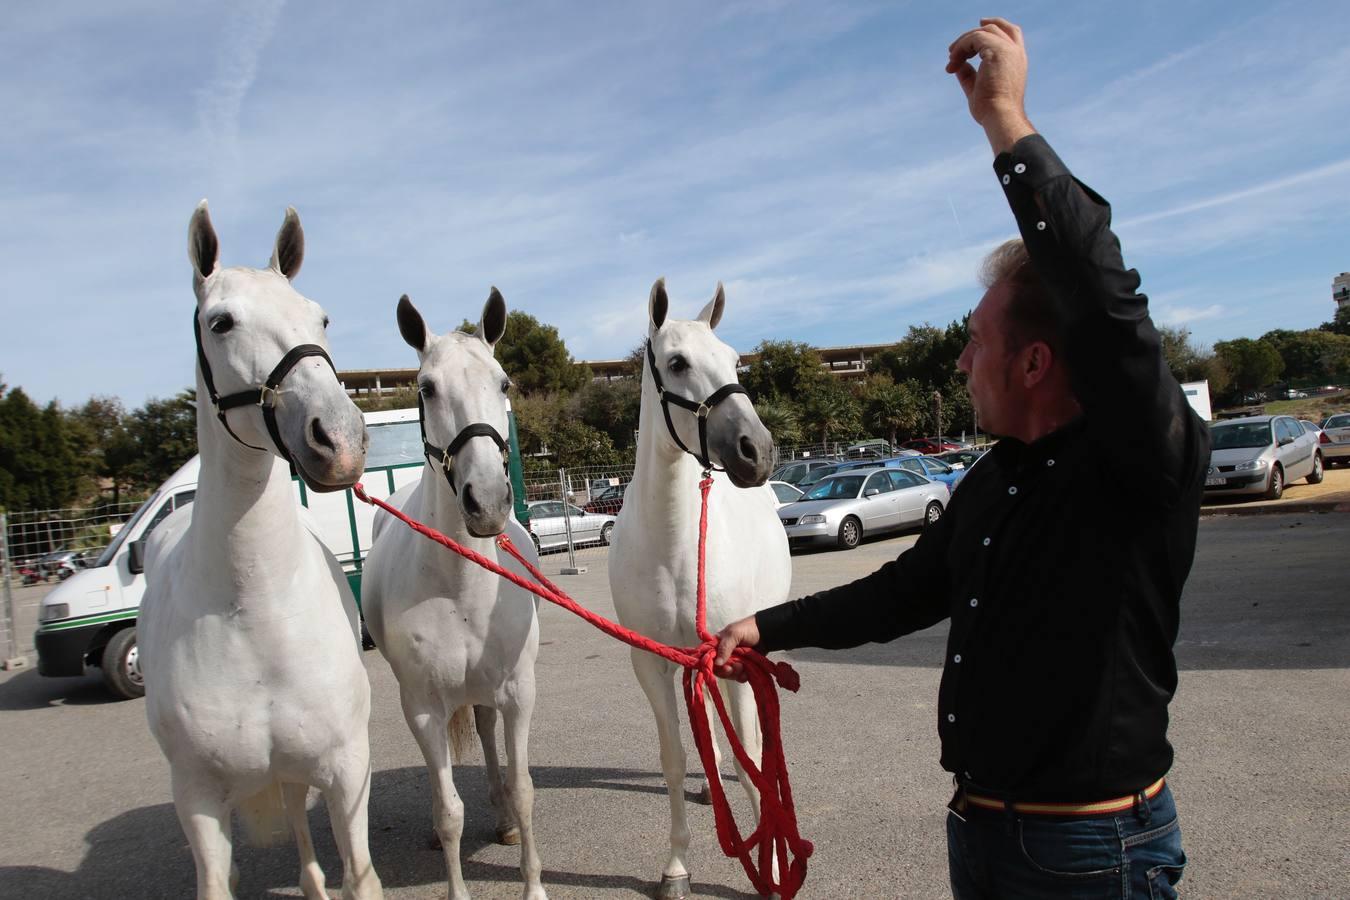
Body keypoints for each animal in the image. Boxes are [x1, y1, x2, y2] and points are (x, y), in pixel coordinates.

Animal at [141, 203, 383, 900]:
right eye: (221, 322)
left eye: (320, 317)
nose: (340, 439)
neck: (254, 612)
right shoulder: (197, 800)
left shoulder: (346, 771)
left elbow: (358, 873)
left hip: (296, 773)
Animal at [364, 292, 548, 895]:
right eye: (426, 387)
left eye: (504, 381)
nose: (486, 500)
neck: (463, 588)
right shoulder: (422, 707)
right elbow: (448, 813)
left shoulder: (519, 694)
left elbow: (524, 789)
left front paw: (534, 883)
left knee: (488, 736)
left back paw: (502, 820)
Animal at [607, 282, 788, 900]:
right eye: (677, 363)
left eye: (735, 360)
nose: (757, 450)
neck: (675, 545)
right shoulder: (650, 662)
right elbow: (674, 754)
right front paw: (677, 867)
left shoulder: (738, 657)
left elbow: (752, 755)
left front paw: (771, 865)